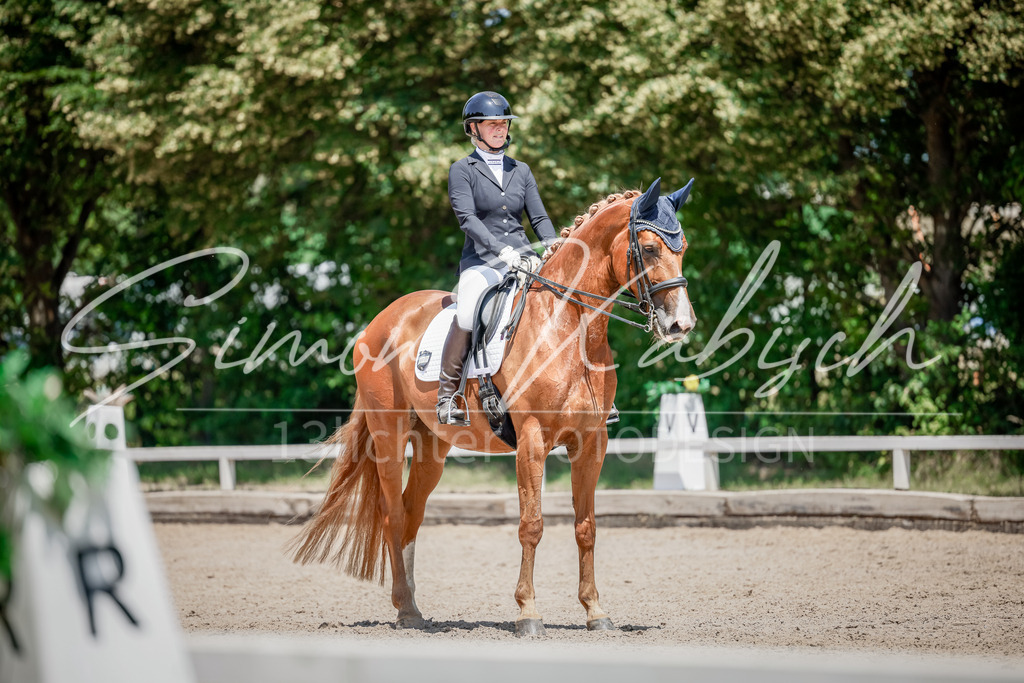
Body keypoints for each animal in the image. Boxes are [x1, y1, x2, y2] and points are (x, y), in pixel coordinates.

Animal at [290, 177, 697, 636]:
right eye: (649, 248)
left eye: (682, 248)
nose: (681, 324)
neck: (569, 325)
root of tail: (379, 322)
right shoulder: (532, 440)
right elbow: (531, 525)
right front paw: (528, 613)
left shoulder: (592, 441)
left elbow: (586, 527)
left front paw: (595, 611)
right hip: (388, 435)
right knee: (393, 513)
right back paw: (406, 610)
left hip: (432, 445)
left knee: (412, 512)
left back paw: (411, 606)